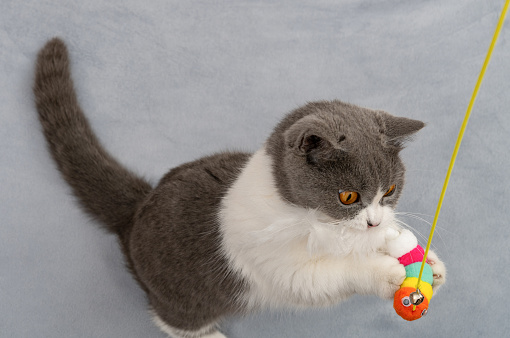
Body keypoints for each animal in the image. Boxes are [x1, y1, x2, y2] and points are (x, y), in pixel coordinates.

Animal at [32, 38, 446, 336]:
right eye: (348, 197)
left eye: (389, 190)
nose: (374, 221)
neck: (313, 219)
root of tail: (138, 207)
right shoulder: (279, 264)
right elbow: (328, 275)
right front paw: (386, 273)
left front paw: (422, 258)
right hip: (184, 296)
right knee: (171, 320)